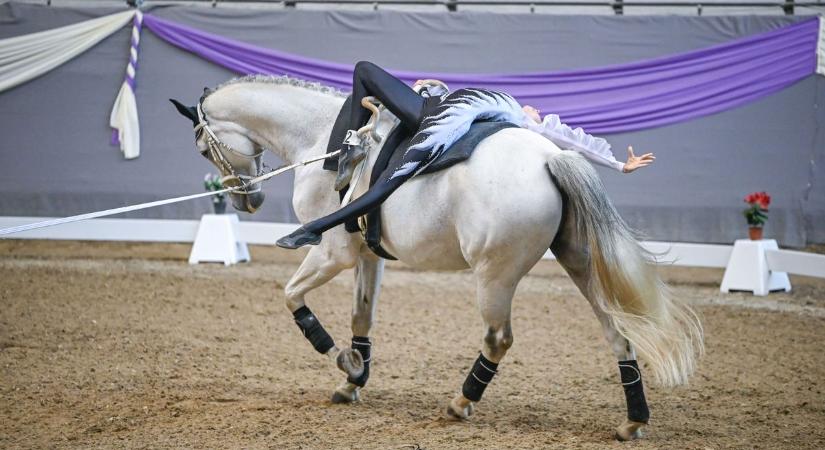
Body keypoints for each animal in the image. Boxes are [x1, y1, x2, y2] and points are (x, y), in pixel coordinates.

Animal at [172, 75, 700, 442]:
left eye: (202, 146)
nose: (246, 201)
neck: (322, 138)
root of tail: (550, 158)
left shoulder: (334, 255)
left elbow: (292, 299)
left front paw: (342, 361)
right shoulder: (367, 256)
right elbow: (362, 317)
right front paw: (354, 378)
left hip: (495, 276)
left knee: (498, 339)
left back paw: (460, 403)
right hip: (578, 263)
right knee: (618, 333)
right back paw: (633, 422)